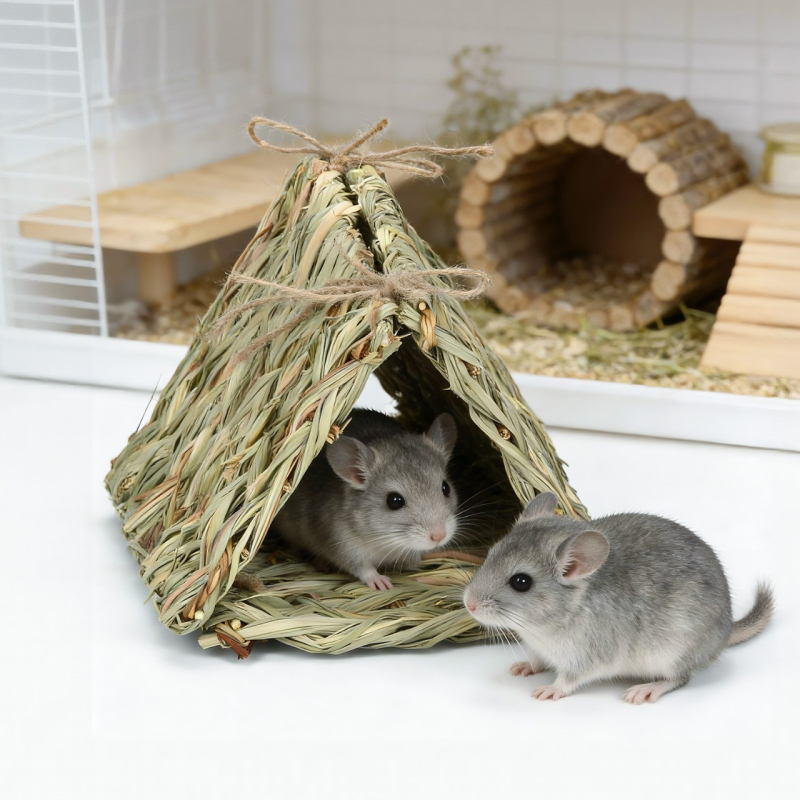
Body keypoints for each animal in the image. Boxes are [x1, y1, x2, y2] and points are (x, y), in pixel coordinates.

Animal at [272, 409, 460, 590]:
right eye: (394, 501)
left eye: (446, 488)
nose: (439, 536)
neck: (386, 542)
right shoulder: (343, 546)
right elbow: (364, 569)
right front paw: (382, 583)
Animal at [463, 492, 774, 704]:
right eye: (490, 553)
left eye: (521, 582)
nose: (469, 604)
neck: (541, 627)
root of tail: (726, 631)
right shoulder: (539, 648)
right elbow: (538, 661)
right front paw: (523, 667)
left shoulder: (589, 657)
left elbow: (568, 679)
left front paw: (547, 690)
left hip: (673, 654)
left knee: (681, 678)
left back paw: (645, 690)